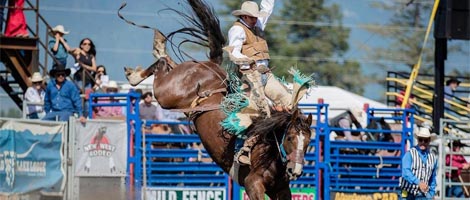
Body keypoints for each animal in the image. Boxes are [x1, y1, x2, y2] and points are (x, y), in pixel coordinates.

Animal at [121, 0, 312, 198]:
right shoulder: (253, 184)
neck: (270, 147)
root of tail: (210, 67)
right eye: (290, 138)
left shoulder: (282, 189)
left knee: (168, 63)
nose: (295, 171)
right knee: (161, 65)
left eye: (308, 141)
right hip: (167, 94)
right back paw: (138, 71)